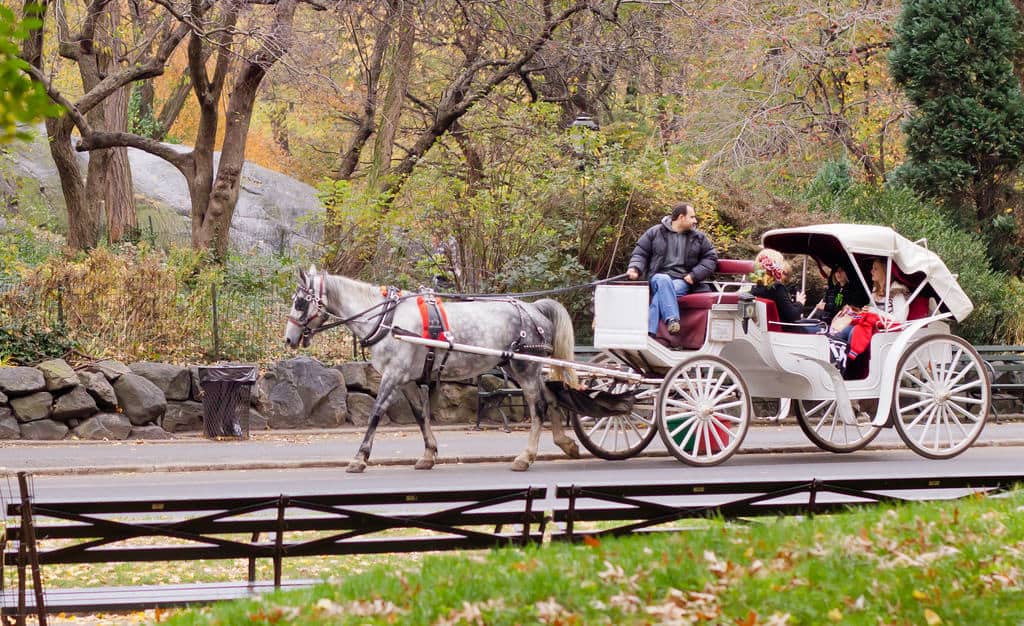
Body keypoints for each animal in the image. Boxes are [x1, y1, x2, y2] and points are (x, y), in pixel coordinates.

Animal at [284, 266, 581, 475]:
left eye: (300, 302)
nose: (289, 339)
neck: (387, 319)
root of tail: (533, 309)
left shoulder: (393, 375)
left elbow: (376, 413)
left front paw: (360, 458)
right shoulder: (406, 379)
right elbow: (419, 414)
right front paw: (428, 454)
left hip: (525, 367)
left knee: (538, 406)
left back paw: (526, 456)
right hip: (523, 367)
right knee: (552, 398)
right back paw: (566, 443)